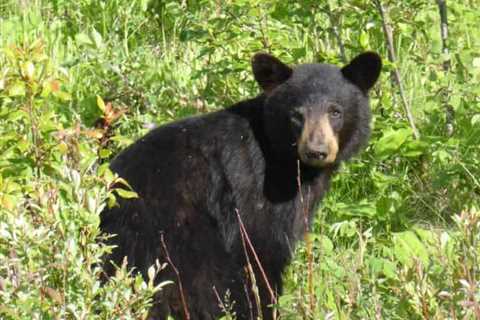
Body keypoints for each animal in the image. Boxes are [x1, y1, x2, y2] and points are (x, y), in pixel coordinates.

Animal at [99, 51, 380, 318]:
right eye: (296, 115)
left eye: (335, 111)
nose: (316, 151)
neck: (283, 158)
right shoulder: (256, 192)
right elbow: (261, 254)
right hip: (178, 238)